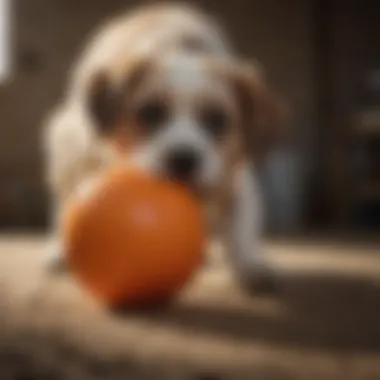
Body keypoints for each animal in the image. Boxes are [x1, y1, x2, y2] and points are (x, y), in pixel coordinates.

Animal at [42, 2, 284, 294]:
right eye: (150, 112)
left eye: (217, 119)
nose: (183, 158)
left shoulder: (234, 176)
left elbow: (242, 227)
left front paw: (252, 265)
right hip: (67, 142)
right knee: (64, 198)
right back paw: (58, 250)